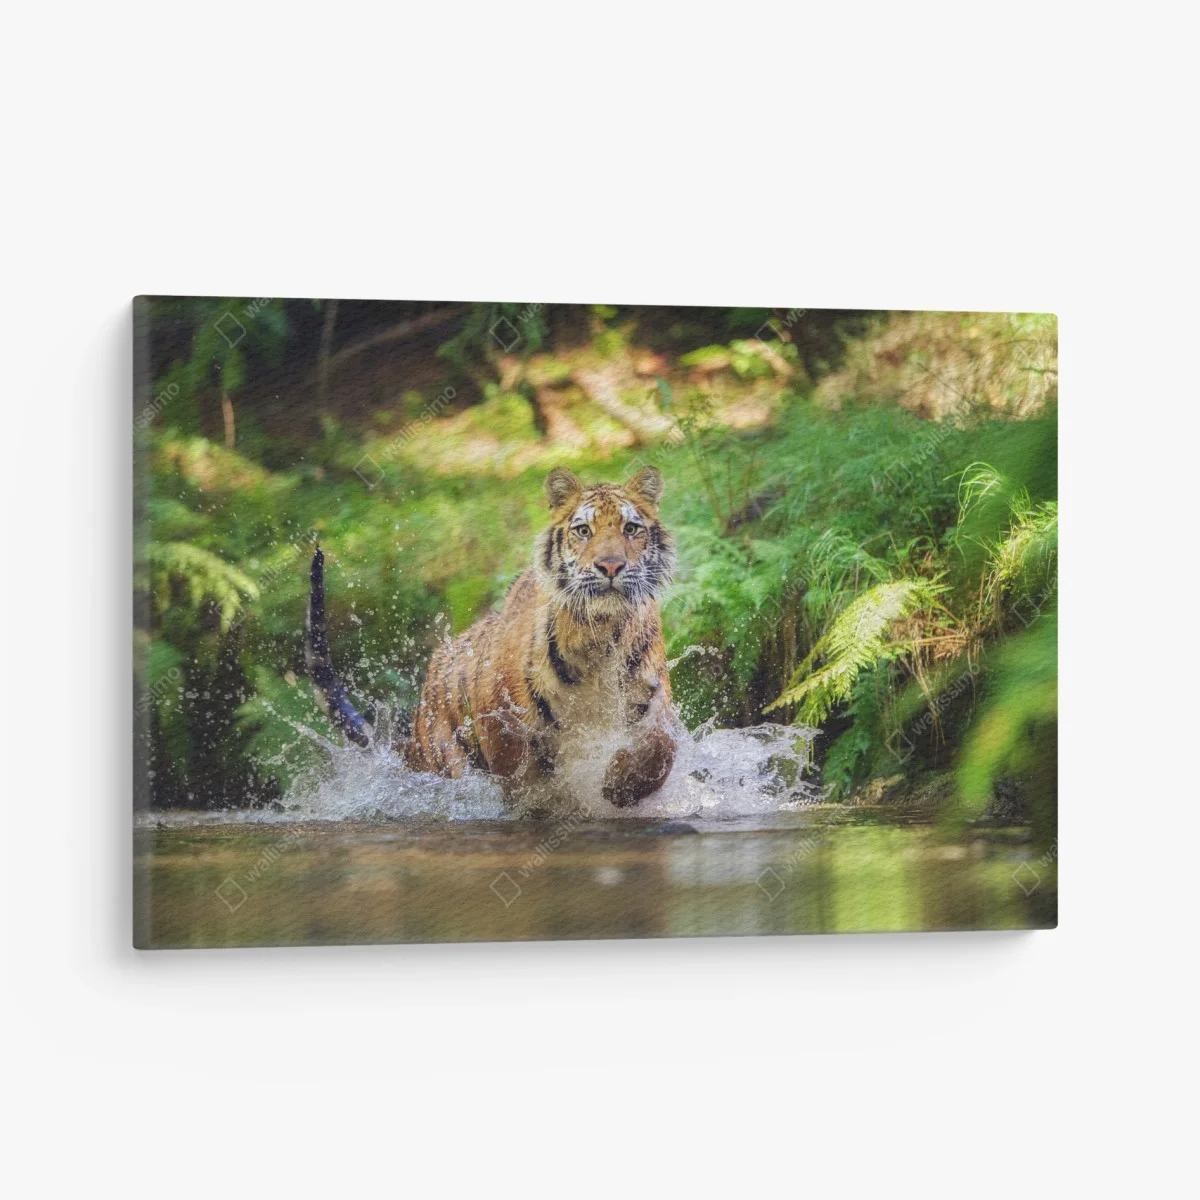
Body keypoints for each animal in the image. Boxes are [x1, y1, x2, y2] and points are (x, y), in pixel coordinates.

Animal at [307, 465, 679, 808]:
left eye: (631, 528)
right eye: (584, 530)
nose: (611, 566)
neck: (598, 635)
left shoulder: (653, 700)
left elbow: (663, 747)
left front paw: (621, 783)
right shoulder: (503, 726)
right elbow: (528, 784)